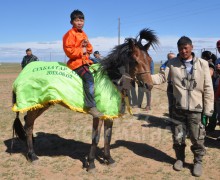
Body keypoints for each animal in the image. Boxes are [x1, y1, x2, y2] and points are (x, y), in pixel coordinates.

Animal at [12, 28, 158, 172]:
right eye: (136, 60)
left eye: (150, 59)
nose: (149, 85)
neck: (110, 79)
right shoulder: (98, 115)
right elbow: (96, 138)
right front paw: (91, 163)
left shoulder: (109, 113)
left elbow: (108, 137)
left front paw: (108, 159)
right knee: (29, 126)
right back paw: (32, 155)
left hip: (41, 104)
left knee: (28, 123)